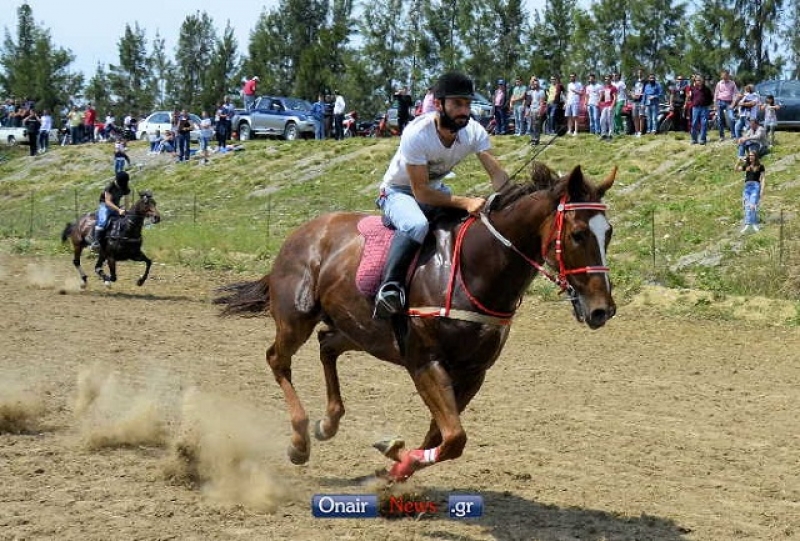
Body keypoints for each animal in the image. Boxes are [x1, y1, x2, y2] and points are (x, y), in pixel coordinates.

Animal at [216, 161, 616, 480]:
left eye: (608, 233)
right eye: (578, 234)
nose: (602, 309)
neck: (471, 269)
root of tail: (301, 233)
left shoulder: (473, 373)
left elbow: (443, 436)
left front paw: (398, 463)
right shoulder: (424, 361)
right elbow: (454, 437)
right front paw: (398, 460)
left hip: (361, 331)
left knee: (327, 345)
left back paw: (328, 423)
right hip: (297, 317)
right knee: (277, 358)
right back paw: (299, 441)